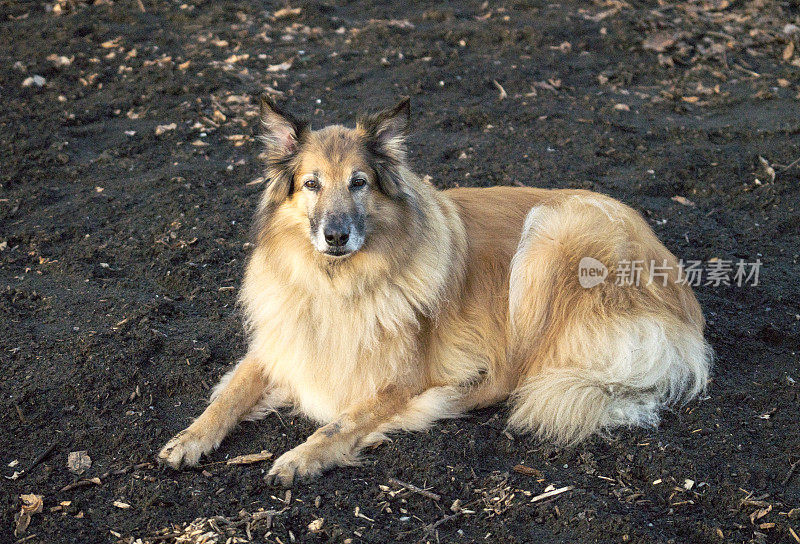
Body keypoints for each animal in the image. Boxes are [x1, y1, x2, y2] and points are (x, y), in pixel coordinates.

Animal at [158, 96, 712, 484]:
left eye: (359, 182)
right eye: (312, 184)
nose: (336, 236)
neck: (338, 285)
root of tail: (682, 297)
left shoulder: (398, 379)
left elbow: (338, 423)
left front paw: (299, 457)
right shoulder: (281, 343)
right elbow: (230, 393)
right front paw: (190, 437)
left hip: (550, 237)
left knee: (514, 375)